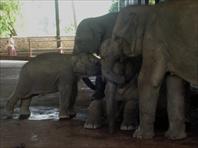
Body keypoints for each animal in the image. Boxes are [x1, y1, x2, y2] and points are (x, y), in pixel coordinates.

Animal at [101, 0, 197, 139]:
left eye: (117, 38)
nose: (111, 133)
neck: (146, 9)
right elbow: (174, 82)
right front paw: (174, 137)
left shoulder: (154, 40)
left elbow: (147, 80)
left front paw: (139, 136)